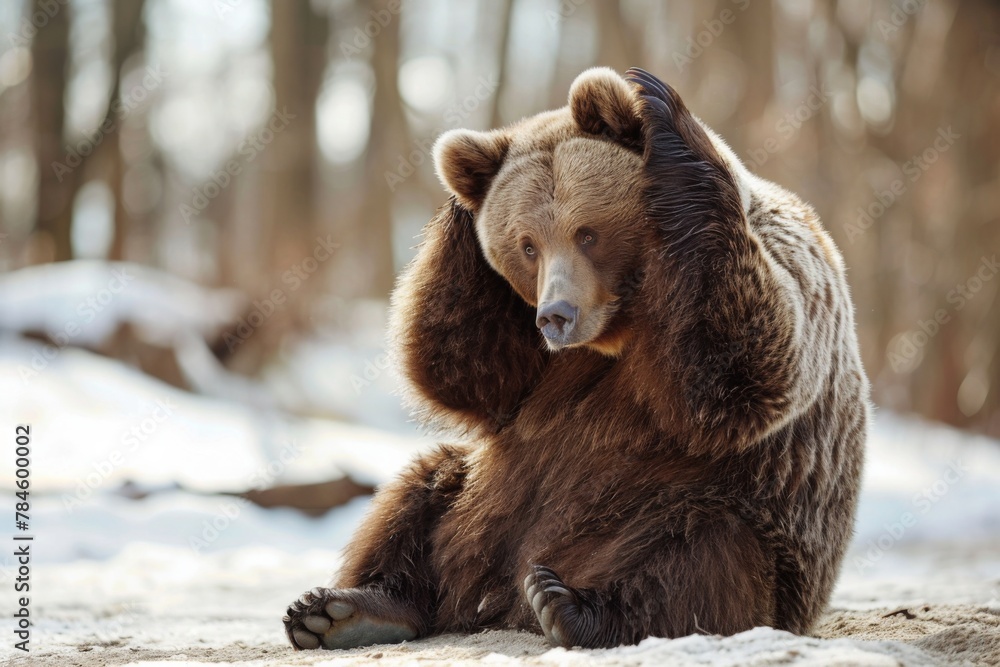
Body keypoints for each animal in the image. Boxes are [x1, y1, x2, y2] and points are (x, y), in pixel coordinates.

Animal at [283, 67, 869, 651]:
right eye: (526, 245)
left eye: (588, 233)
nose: (555, 315)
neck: (617, 329)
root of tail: (495, 600)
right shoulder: (535, 360)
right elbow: (463, 365)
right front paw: (467, 174)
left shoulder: (775, 272)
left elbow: (742, 373)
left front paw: (660, 108)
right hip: (480, 513)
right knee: (421, 487)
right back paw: (346, 608)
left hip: (714, 525)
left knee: (699, 550)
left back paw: (573, 607)